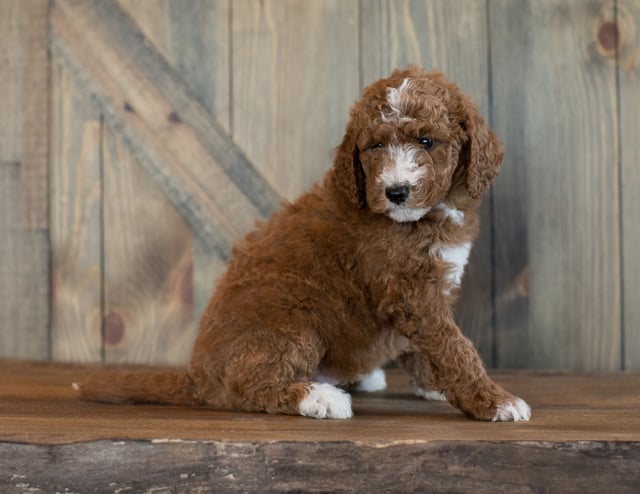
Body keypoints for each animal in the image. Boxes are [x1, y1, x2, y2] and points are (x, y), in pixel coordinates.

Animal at [77, 65, 532, 420]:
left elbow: (428, 347)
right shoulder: (411, 291)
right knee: (247, 388)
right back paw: (318, 397)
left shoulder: (428, 291)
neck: (428, 216)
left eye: (426, 142)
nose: (396, 191)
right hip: (294, 322)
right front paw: (494, 401)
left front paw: (435, 383)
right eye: (375, 146)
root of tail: (197, 375)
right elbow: (454, 346)